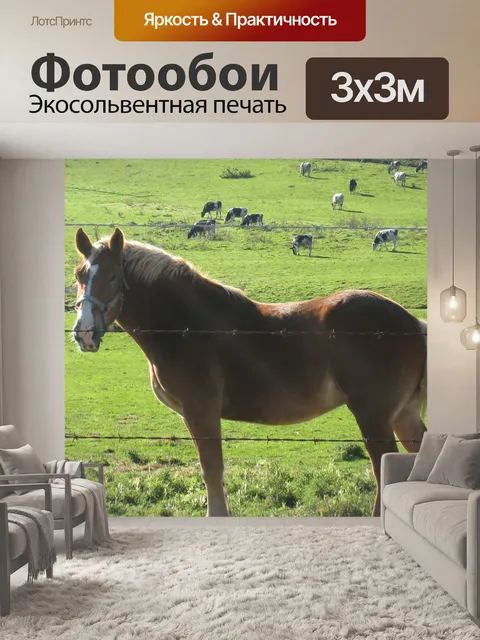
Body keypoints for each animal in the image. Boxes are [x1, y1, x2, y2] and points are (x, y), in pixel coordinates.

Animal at [72, 228, 428, 517]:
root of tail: (412, 322)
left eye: (113, 276)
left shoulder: (201, 411)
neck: (187, 326)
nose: (84, 333)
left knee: (383, 469)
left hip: (373, 416)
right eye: (79, 275)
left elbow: (212, 470)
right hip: (403, 415)